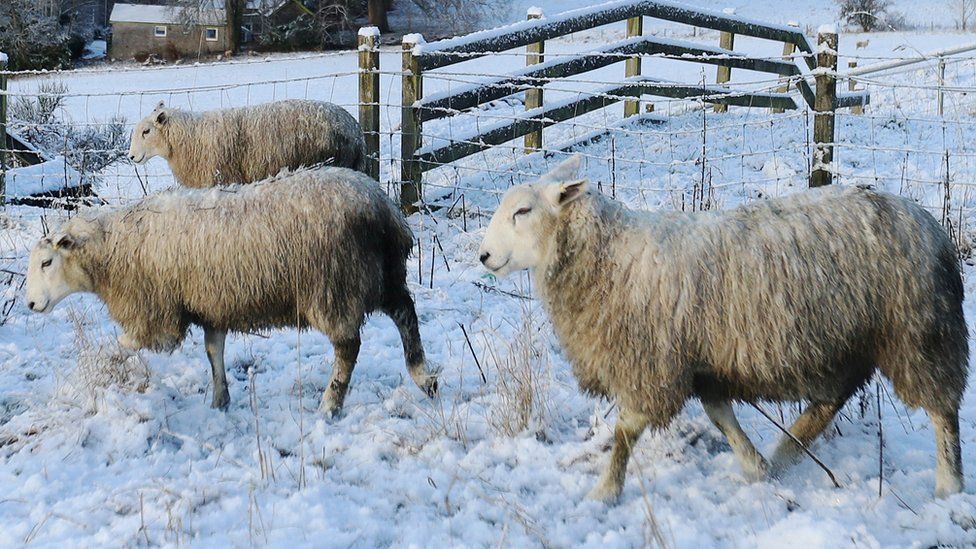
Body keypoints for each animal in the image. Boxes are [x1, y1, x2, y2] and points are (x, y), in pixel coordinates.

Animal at [24, 165, 436, 414]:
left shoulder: (156, 312)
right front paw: (220, 399)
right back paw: (423, 376)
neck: (112, 251)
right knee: (406, 313)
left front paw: (101, 364)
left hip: (335, 284)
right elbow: (214, 351)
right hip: (381, 275)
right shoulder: (212, 303)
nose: (29, 304)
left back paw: (330, 404)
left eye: (47, 263)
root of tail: (383, 208)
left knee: (349, 347)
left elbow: (124, 343)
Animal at [478, 153, 968, 500]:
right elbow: (720, 414)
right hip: (846, 338)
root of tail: (930, 226)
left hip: (918, 331)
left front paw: (605, 492)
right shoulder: (702, 358)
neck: (611, 257)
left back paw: (949, 484)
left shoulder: (650, 363)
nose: (483, 256)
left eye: (523, 211)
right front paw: (754, 466)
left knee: (942, 408)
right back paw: (787, 450)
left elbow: (625, 433)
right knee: (835, 396)